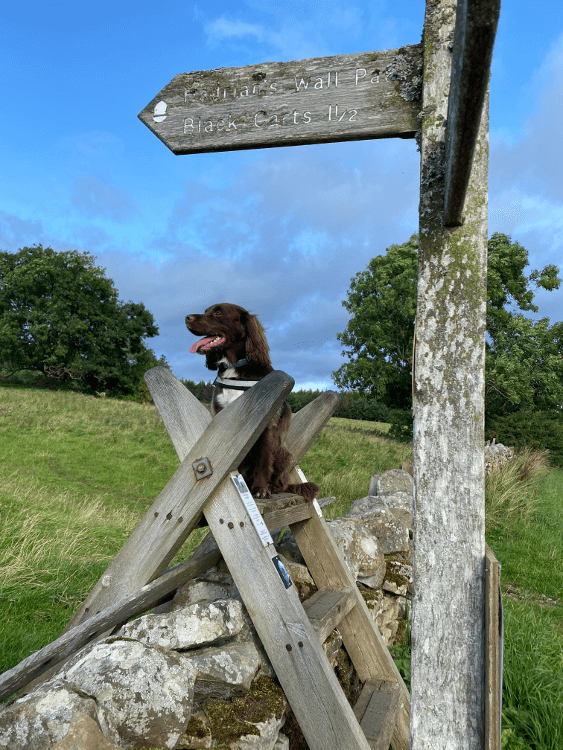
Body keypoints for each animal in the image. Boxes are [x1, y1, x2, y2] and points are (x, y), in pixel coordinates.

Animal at [185, 302, 318, 502]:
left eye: (218, 312)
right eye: (206, 311)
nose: (187, 318)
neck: (235, 368)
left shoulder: (266, 426)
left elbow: (263, 461)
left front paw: (261, 489)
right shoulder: (221, 417)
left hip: (283, 453)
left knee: (281, 482)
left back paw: (271, 487)